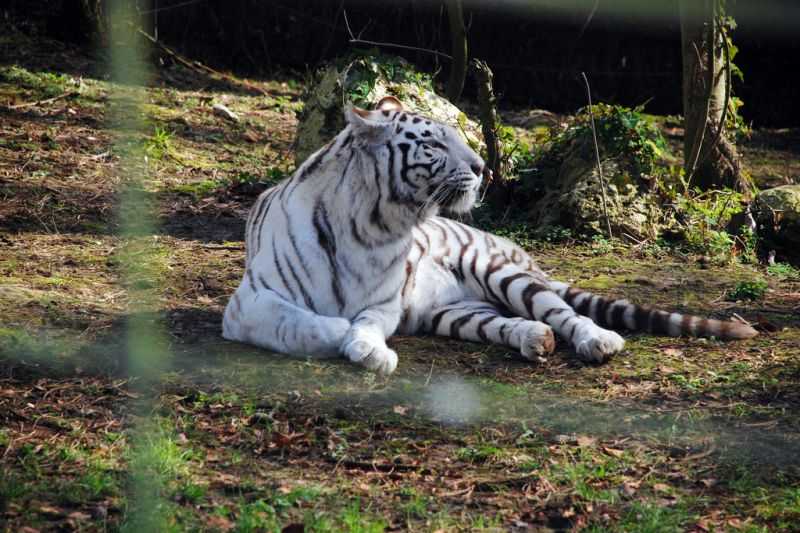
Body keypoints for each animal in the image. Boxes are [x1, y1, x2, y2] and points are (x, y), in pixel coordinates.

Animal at [222, 96, 757, 374]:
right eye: (435, 143)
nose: (483, 168)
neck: (372, 223)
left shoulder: (383, 302)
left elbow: (365, 322)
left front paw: (369, 347)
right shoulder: (250, 304)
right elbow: (305, 323)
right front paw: (349, 339)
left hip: (500, 272)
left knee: (564, 313)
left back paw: (597, 341)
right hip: (457, 312)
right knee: (512, 323)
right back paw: (535, 340)